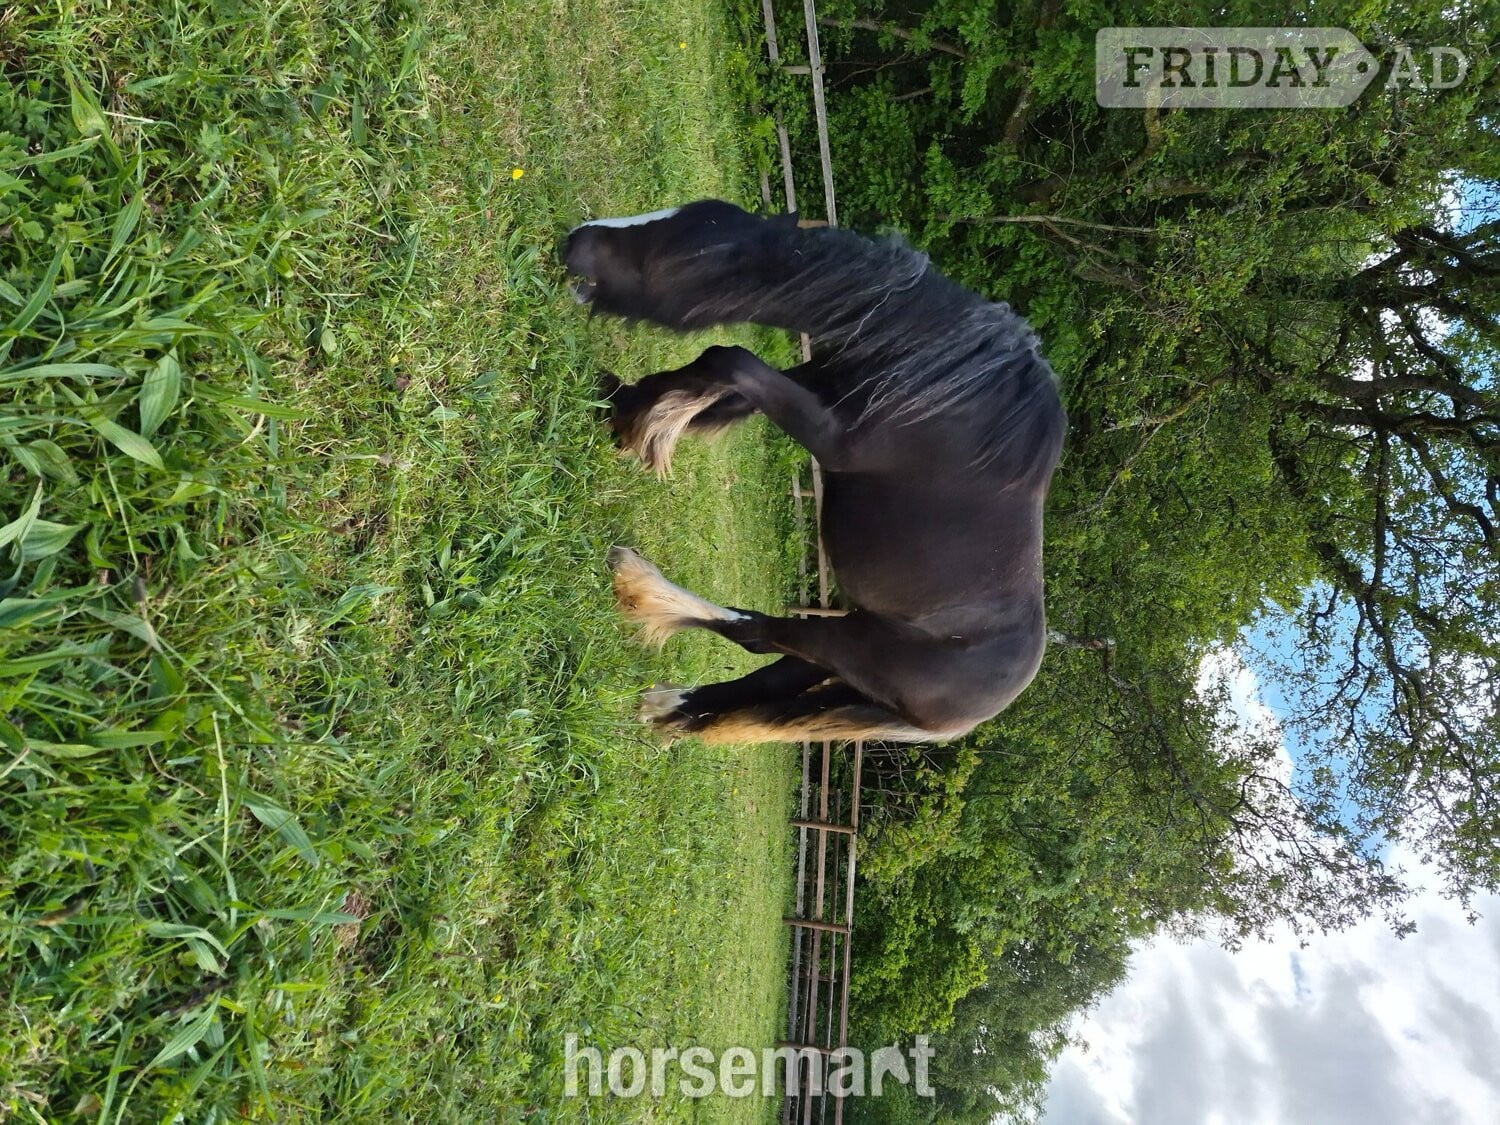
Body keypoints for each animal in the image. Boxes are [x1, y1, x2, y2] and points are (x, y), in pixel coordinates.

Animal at [562, 200, 1066, 745]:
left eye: (690, 248)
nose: (574, 240)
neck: (950, 391)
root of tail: (976, 714)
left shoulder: (834, 441)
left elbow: (728, 360)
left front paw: (639, 419)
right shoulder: (816, 380)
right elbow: (717, 385)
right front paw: (626, 407)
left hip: (848, 644)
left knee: (756, 636)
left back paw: (638, 584)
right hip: (845, 655)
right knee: (764, 680)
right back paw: (672, 704)